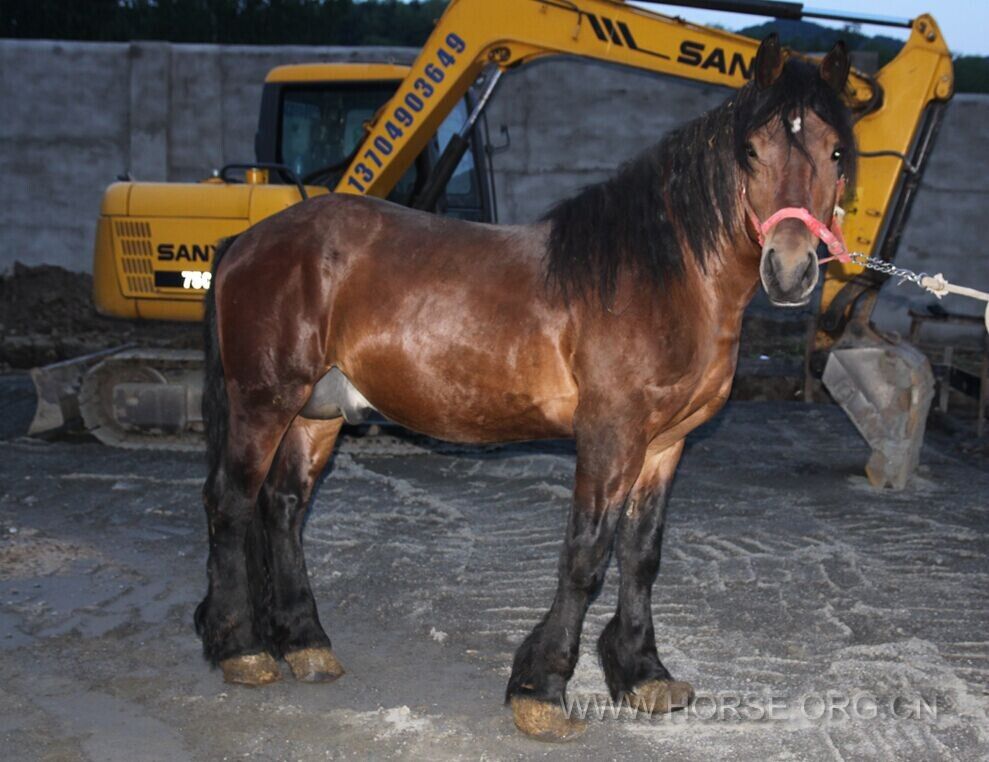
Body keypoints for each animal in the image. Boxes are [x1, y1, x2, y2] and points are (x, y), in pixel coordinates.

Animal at [195, 38, 856, 740]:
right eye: (751, 151)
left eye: (837, 152)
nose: (789, 269)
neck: (660, 279)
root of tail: (247, 240)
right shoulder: (611, 436)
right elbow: (587, 556)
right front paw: (542, 689)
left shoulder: (664, 444)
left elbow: (641, 554)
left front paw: (643, 675)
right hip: (263, 401)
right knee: (231, 503)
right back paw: (241, 648)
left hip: (315, 413)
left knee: (283, 507)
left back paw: (305, 644)